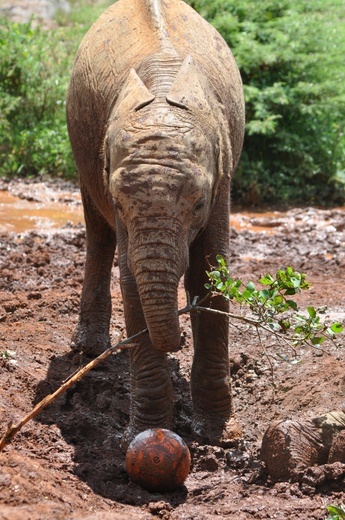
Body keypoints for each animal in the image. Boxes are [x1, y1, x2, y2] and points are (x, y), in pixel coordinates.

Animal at [66, 0, 245, 446]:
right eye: (119, 200)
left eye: (199, 203)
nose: (177, 342)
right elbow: (131, 277)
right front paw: (143, 435)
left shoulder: (221, 176)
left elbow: (210, 270)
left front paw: (218, 435)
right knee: (98, 234)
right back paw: (90, 352)